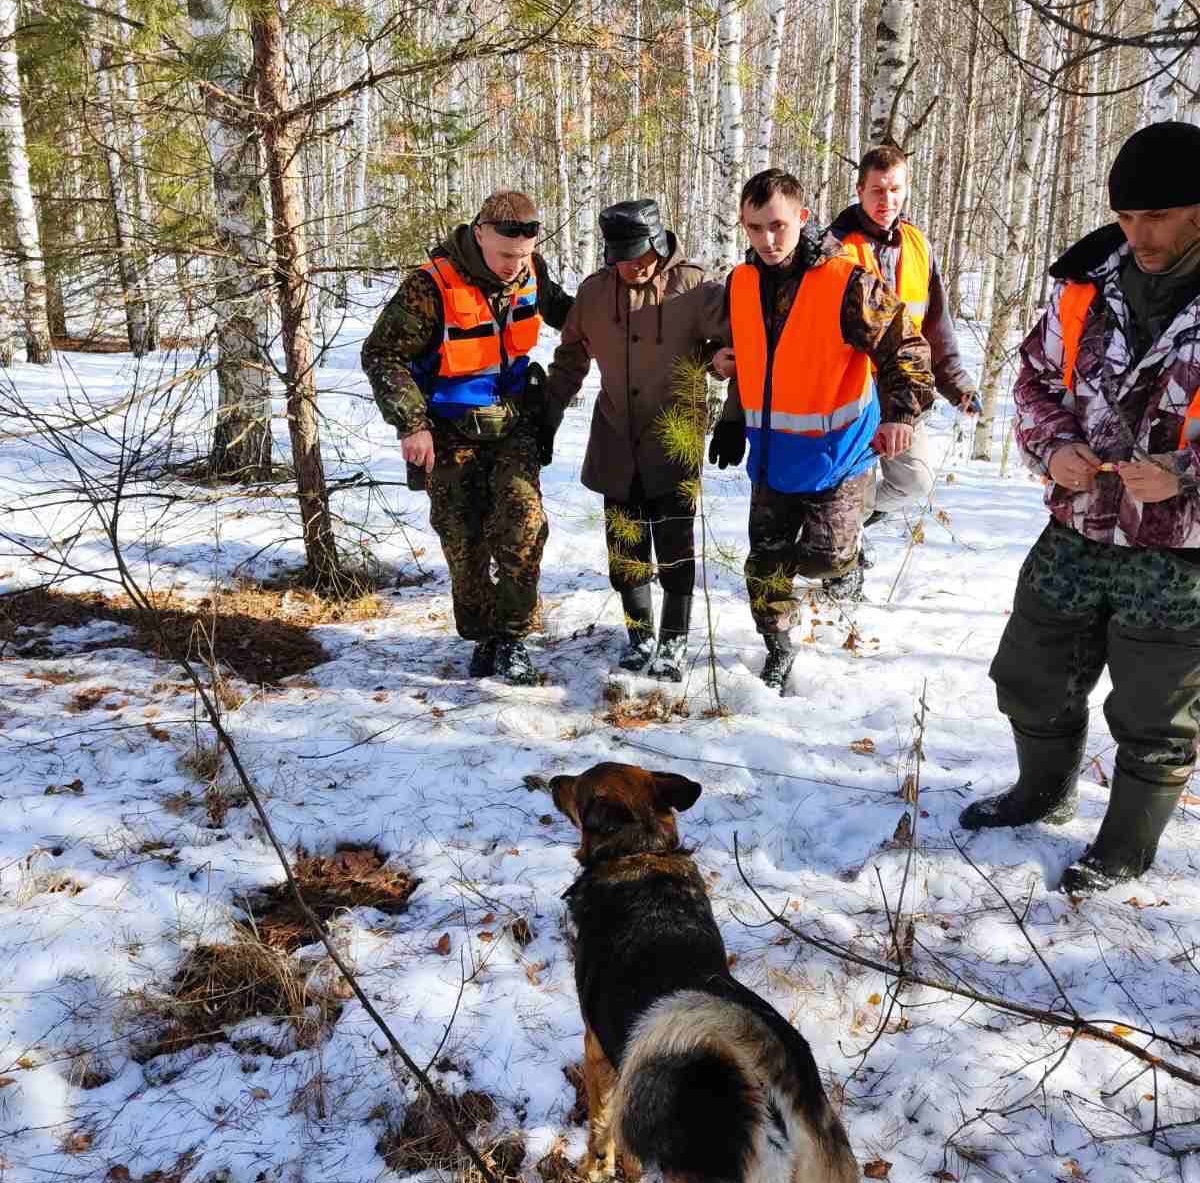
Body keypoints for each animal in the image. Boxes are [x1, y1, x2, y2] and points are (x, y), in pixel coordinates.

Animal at [549, 763, 859, 1180]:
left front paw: (594, 1167)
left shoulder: (596, 1050)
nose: (553, 781)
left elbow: (600, 1128)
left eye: (578, 783)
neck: (642, 850)